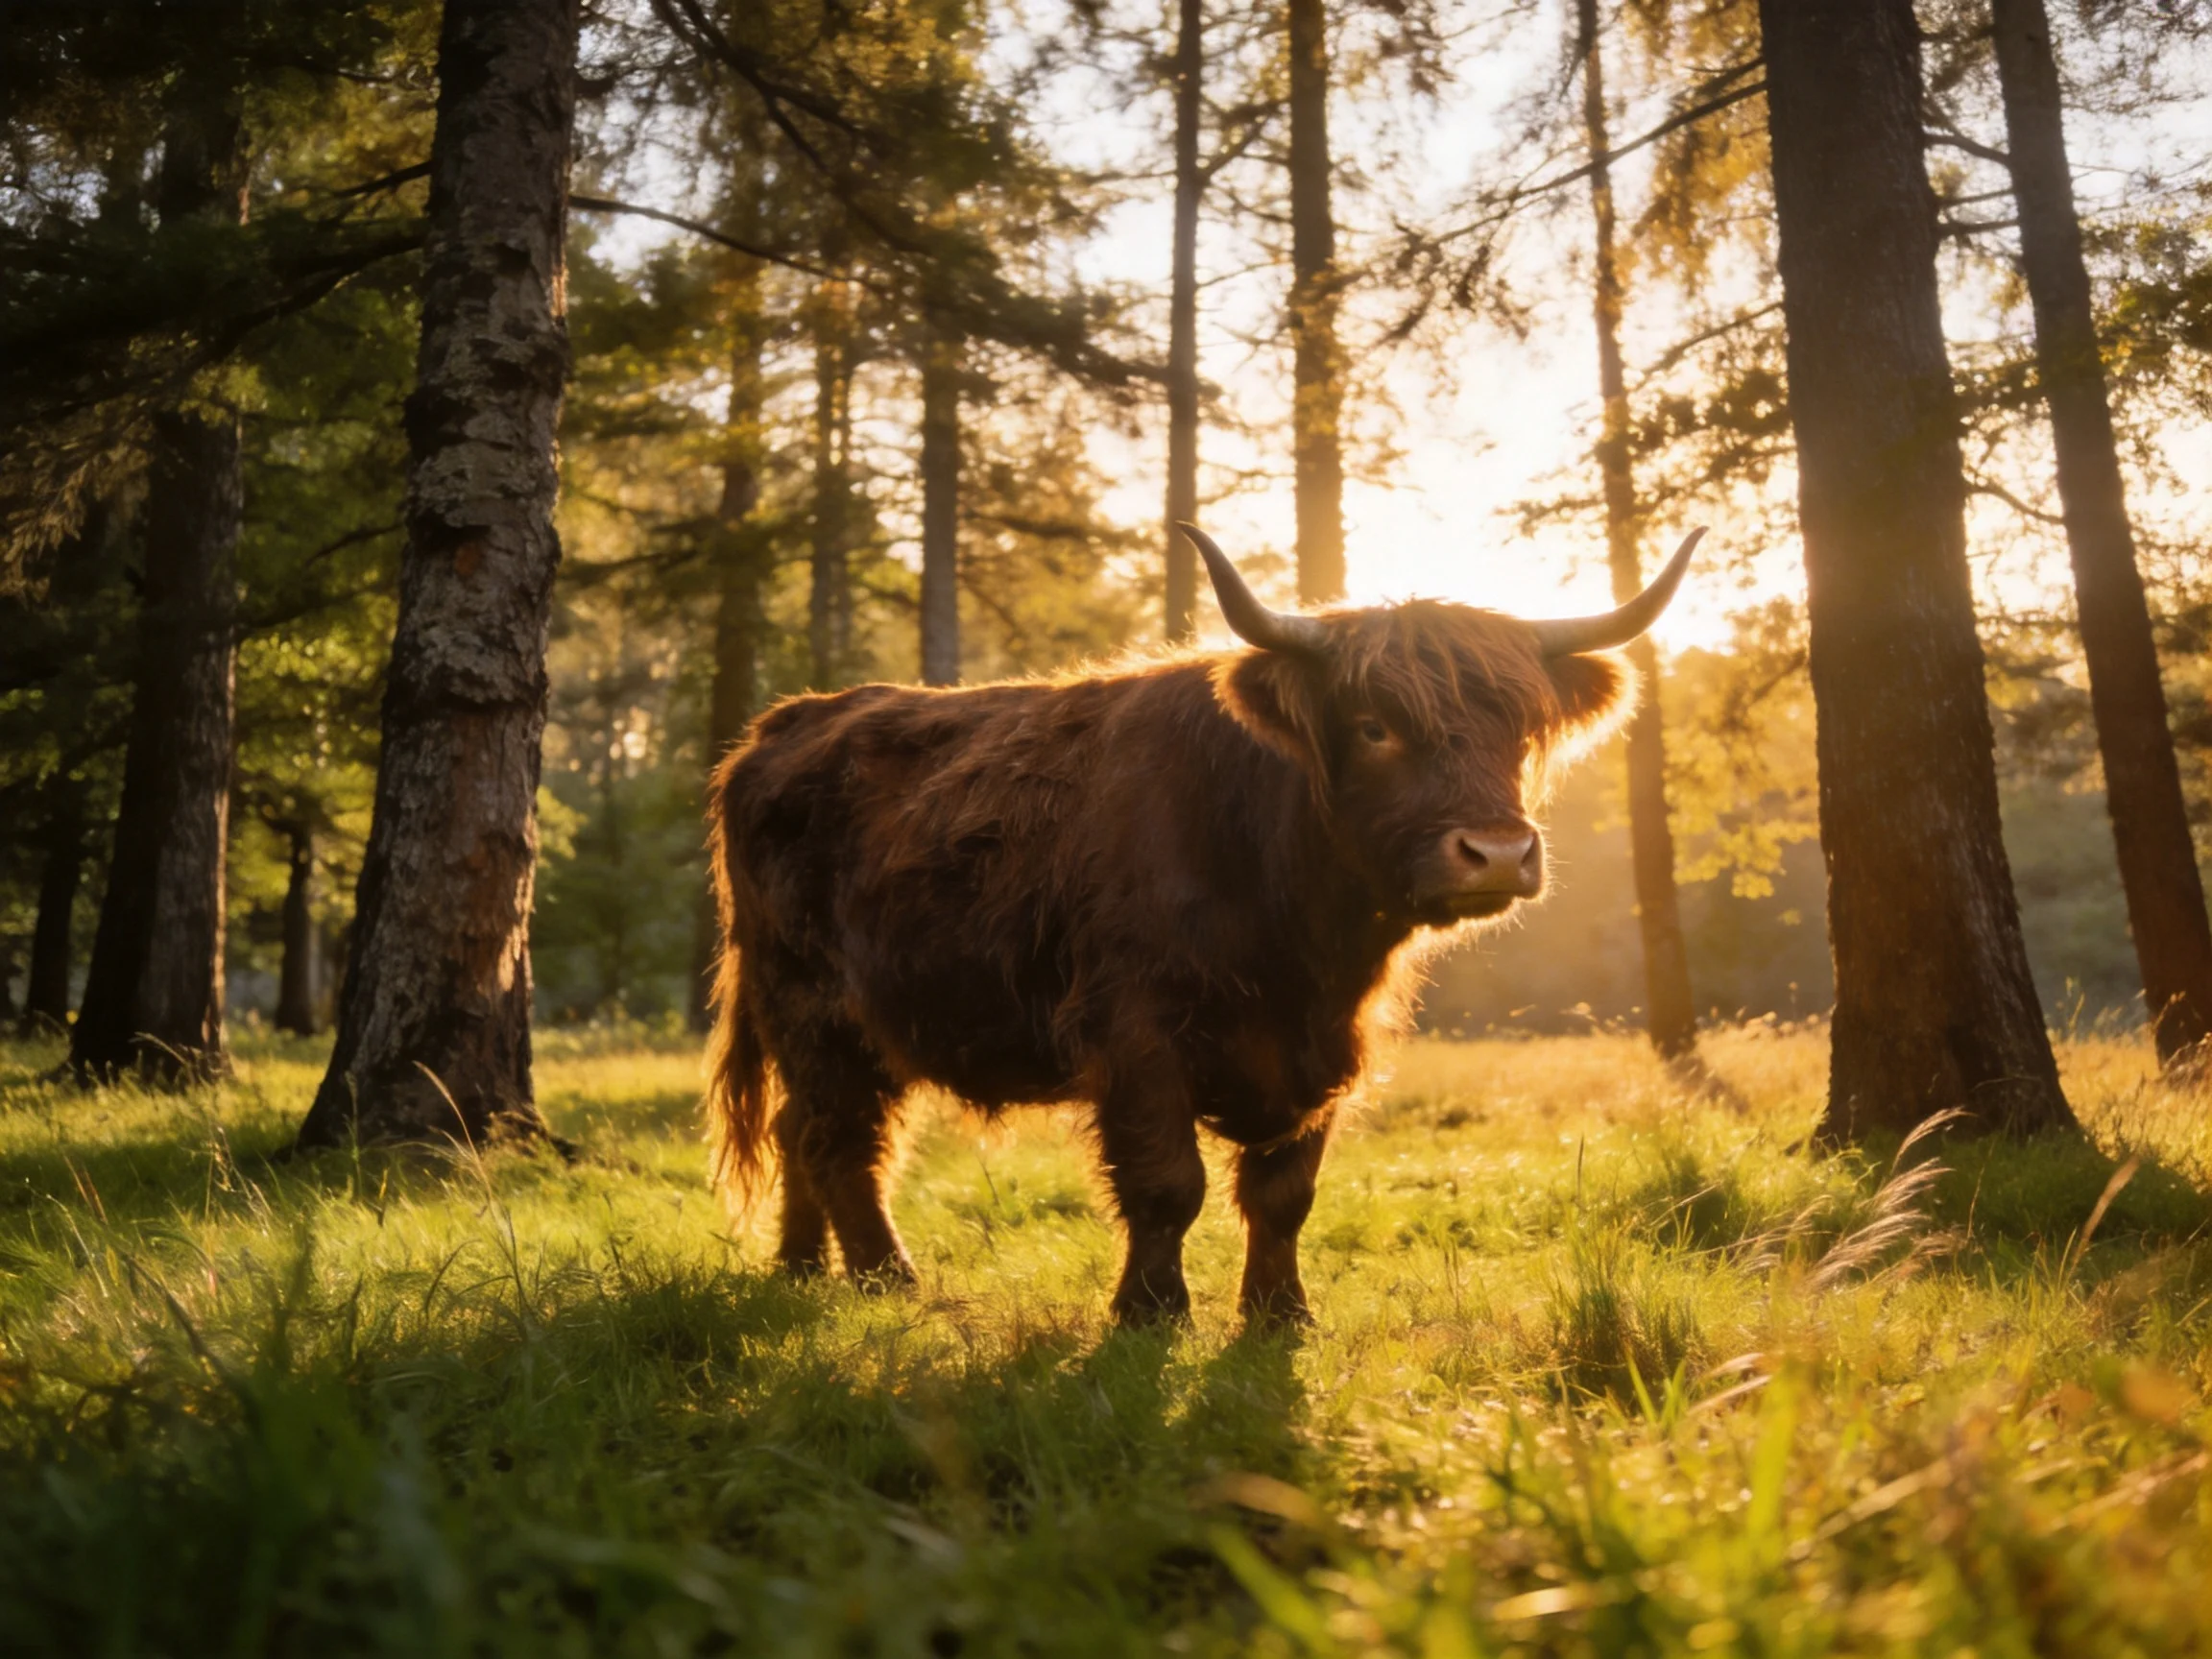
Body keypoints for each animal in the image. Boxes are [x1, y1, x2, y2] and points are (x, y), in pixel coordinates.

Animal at [705, 524, 1701, 1324]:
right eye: (1373, 727)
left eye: (1521, 732)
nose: (1495, 852)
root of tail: (781, 726)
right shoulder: (1137, 1031)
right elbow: (1167, 1182)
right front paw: (1150, 1311)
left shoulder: (1326, 1044)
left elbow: (1284, 1191)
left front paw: (1278, 1313)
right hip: (812, 1004)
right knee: (838, 1138)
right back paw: (886, 1279)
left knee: (801, 1128)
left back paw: (802, 1268)